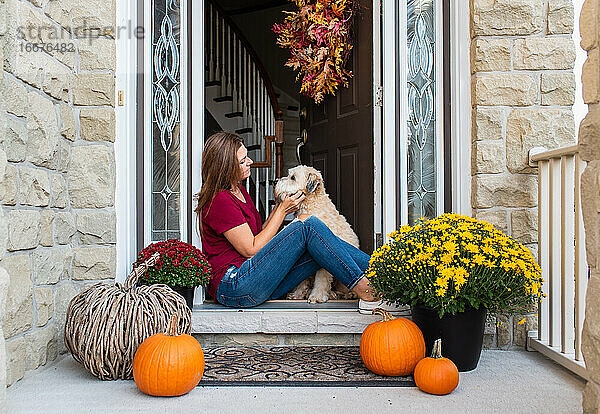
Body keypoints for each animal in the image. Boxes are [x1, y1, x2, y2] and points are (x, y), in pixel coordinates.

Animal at [274, 165, 360, 304]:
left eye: (293, 177)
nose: (274, 181)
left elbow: (322, 279)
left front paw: (317, 296)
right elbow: (302, 280)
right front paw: (298, 294)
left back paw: (344, 294)